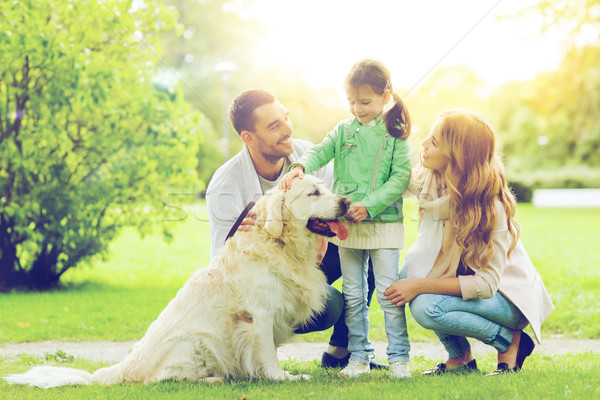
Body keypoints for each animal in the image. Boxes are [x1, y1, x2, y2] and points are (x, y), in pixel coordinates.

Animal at [4, 176, 350, 388]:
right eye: (314, 193)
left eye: (326, 188)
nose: (346, 202)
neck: (280, 244)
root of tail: (124, 367)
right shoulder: (259, 316)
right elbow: (267, 354)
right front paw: (282, 377)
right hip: (192, 342)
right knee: (162, 379)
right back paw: (214, 378)